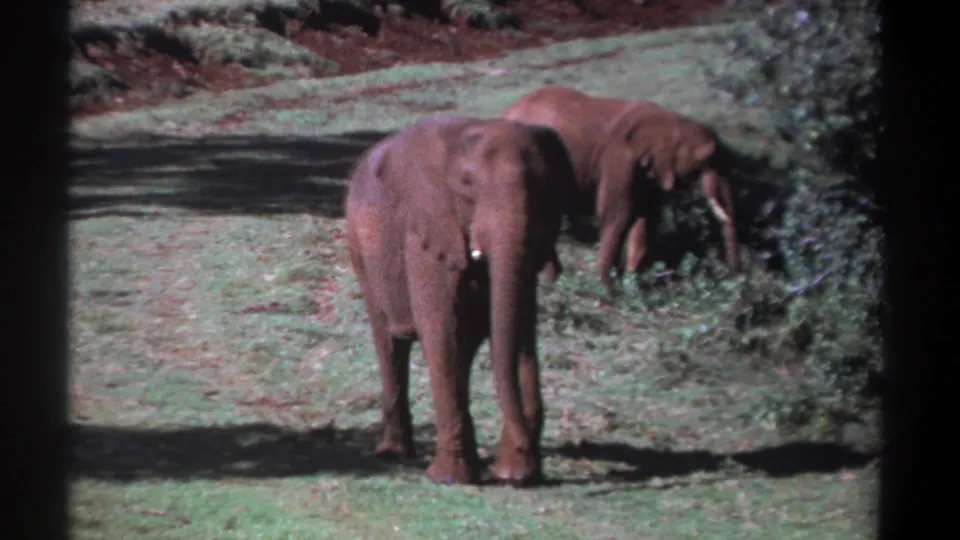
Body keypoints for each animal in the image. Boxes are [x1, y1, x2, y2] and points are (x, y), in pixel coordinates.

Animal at [344, 115, 576, 486]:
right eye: (467, 185)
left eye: (544, 187)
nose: (525, 461)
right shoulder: (427, 229)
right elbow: (441, 329)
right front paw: (451, 479)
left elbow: (520, 327)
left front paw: (516, 472)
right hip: (361, 248)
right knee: (390, 339)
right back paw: (394, 453)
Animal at [501, 86, 740, 287]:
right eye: (707, 158)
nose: (733, 276)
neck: (670, 120)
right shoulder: (619, 157)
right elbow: (618, 212)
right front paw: (607, 285)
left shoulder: (649, 168)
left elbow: (648, 217)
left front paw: (634, 279)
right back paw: (552, 279)